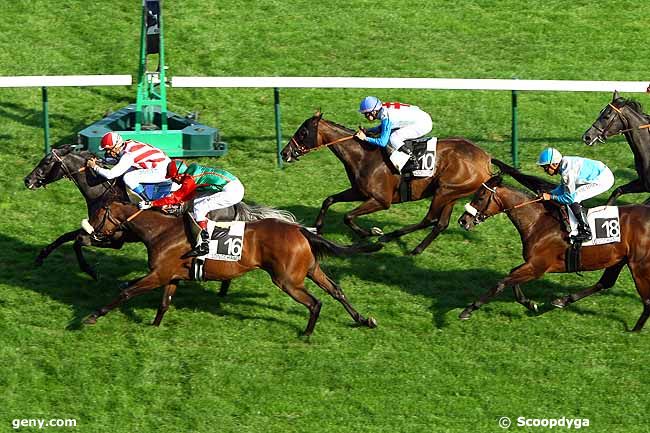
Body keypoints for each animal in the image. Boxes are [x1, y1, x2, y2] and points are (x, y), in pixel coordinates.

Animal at [24, 144, 294, 280]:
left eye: (46, 162)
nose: (28, 180)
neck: (103, 188)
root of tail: (236, 203)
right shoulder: (97, 226)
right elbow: (67, 236)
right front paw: (40, 257)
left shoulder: (115, 237)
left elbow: (78, 241)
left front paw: (90, 271)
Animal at [85, 201, 380, 336]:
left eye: (99, 214)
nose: (90, 233)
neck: (161, 231)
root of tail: (300, 230)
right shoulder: (171, 276)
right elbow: (164, 303)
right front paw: (154, 327)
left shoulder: (158, 274)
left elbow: (126, 292)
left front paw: (91, 316)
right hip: (310, 270)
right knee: (336, 290)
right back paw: (363, 319)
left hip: (287, 280)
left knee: (315, 302)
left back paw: (307, 333)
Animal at [280, 111, 488, 255]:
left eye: (303, 132)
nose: (284, 153)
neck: (364, 155)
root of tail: (486, 159)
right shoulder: (359, 192)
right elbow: (329, 200)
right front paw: (318, 227)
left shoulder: (381, 200)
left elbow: (348, 216)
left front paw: (371, 233)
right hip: (452, 194)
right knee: (441, 224)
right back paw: (417, 249)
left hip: (444, 192)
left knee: (429, 219)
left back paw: (389, 237)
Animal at [458, 173, 650, 330]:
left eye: (480, 197)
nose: (462, 221)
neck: (538, 222)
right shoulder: (532, 264)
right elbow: (511, 277)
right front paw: (530, 304)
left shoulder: (537, 267)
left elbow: (501, 283)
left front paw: (468, 310)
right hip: (619, 259)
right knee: (605, 283)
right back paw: (561, 301)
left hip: (639, 265)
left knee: (646, 300)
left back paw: (634, 331)